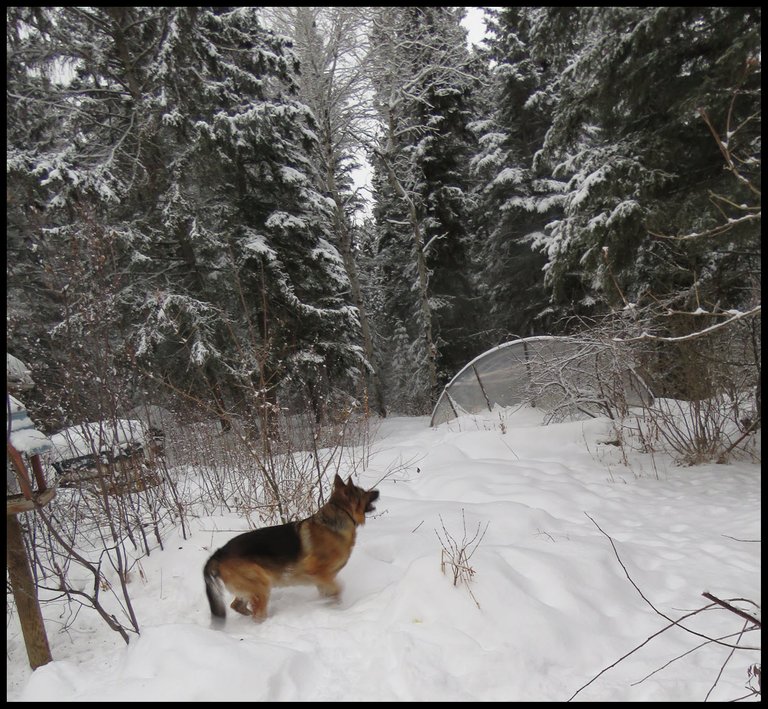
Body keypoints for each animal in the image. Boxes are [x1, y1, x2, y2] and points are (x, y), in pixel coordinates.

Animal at [204, 472, 378, 624]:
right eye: (363, 492)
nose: (377, 491)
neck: (341, 514)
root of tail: (219, 553)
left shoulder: (323, 578)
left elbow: (329, 593)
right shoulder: (319, 572)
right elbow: (337, 589)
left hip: (252, 587)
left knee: (237, 606)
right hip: (261, 584)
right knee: (256, 614)